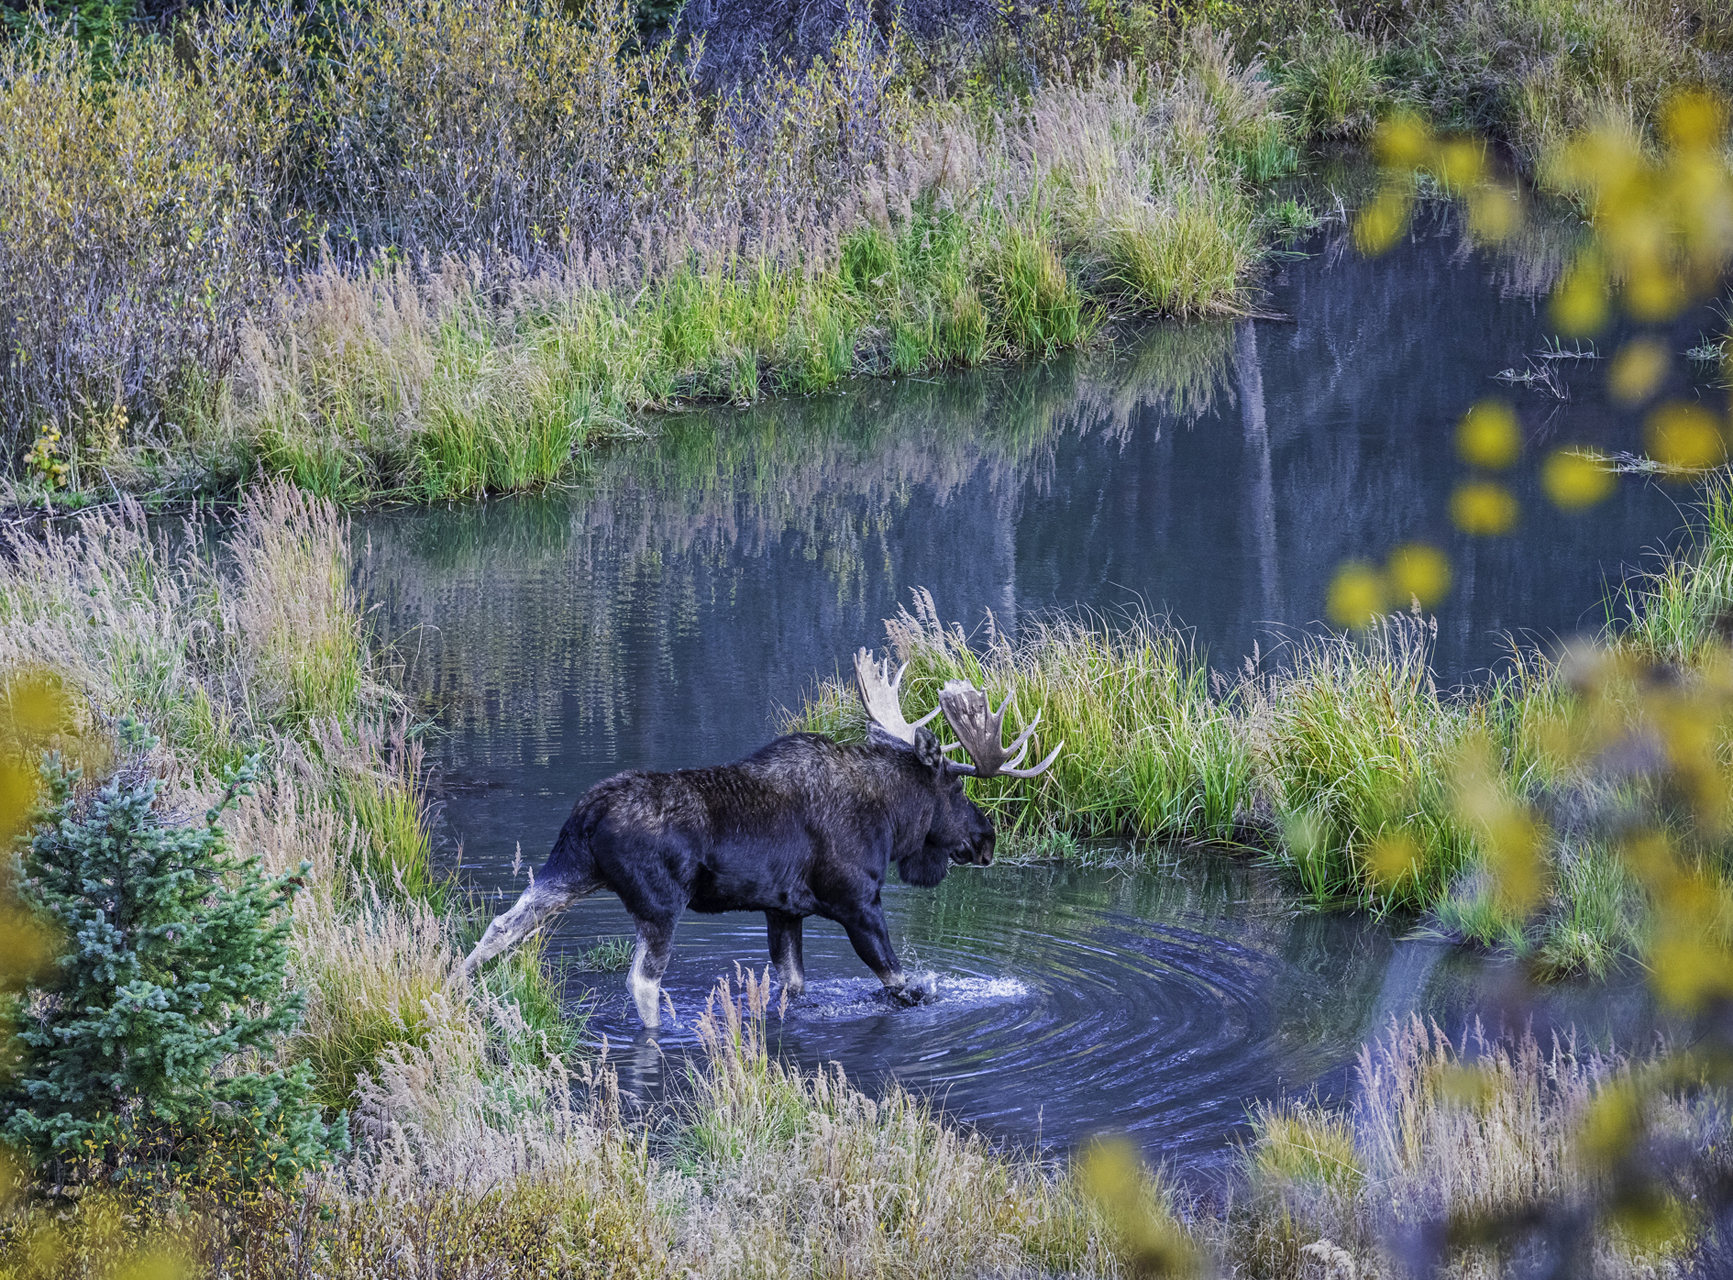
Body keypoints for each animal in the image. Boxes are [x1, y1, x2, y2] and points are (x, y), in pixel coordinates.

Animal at [460, 644, 1053, 1025]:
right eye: (956, 787)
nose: (987, 838)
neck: (890, 820)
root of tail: (589, 813)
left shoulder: (783, 909)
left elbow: (792, 986)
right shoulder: (857, 901)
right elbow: (901, 985)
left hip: (566, 870)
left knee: (500, 927)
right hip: (659, 901)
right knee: (642, 980)